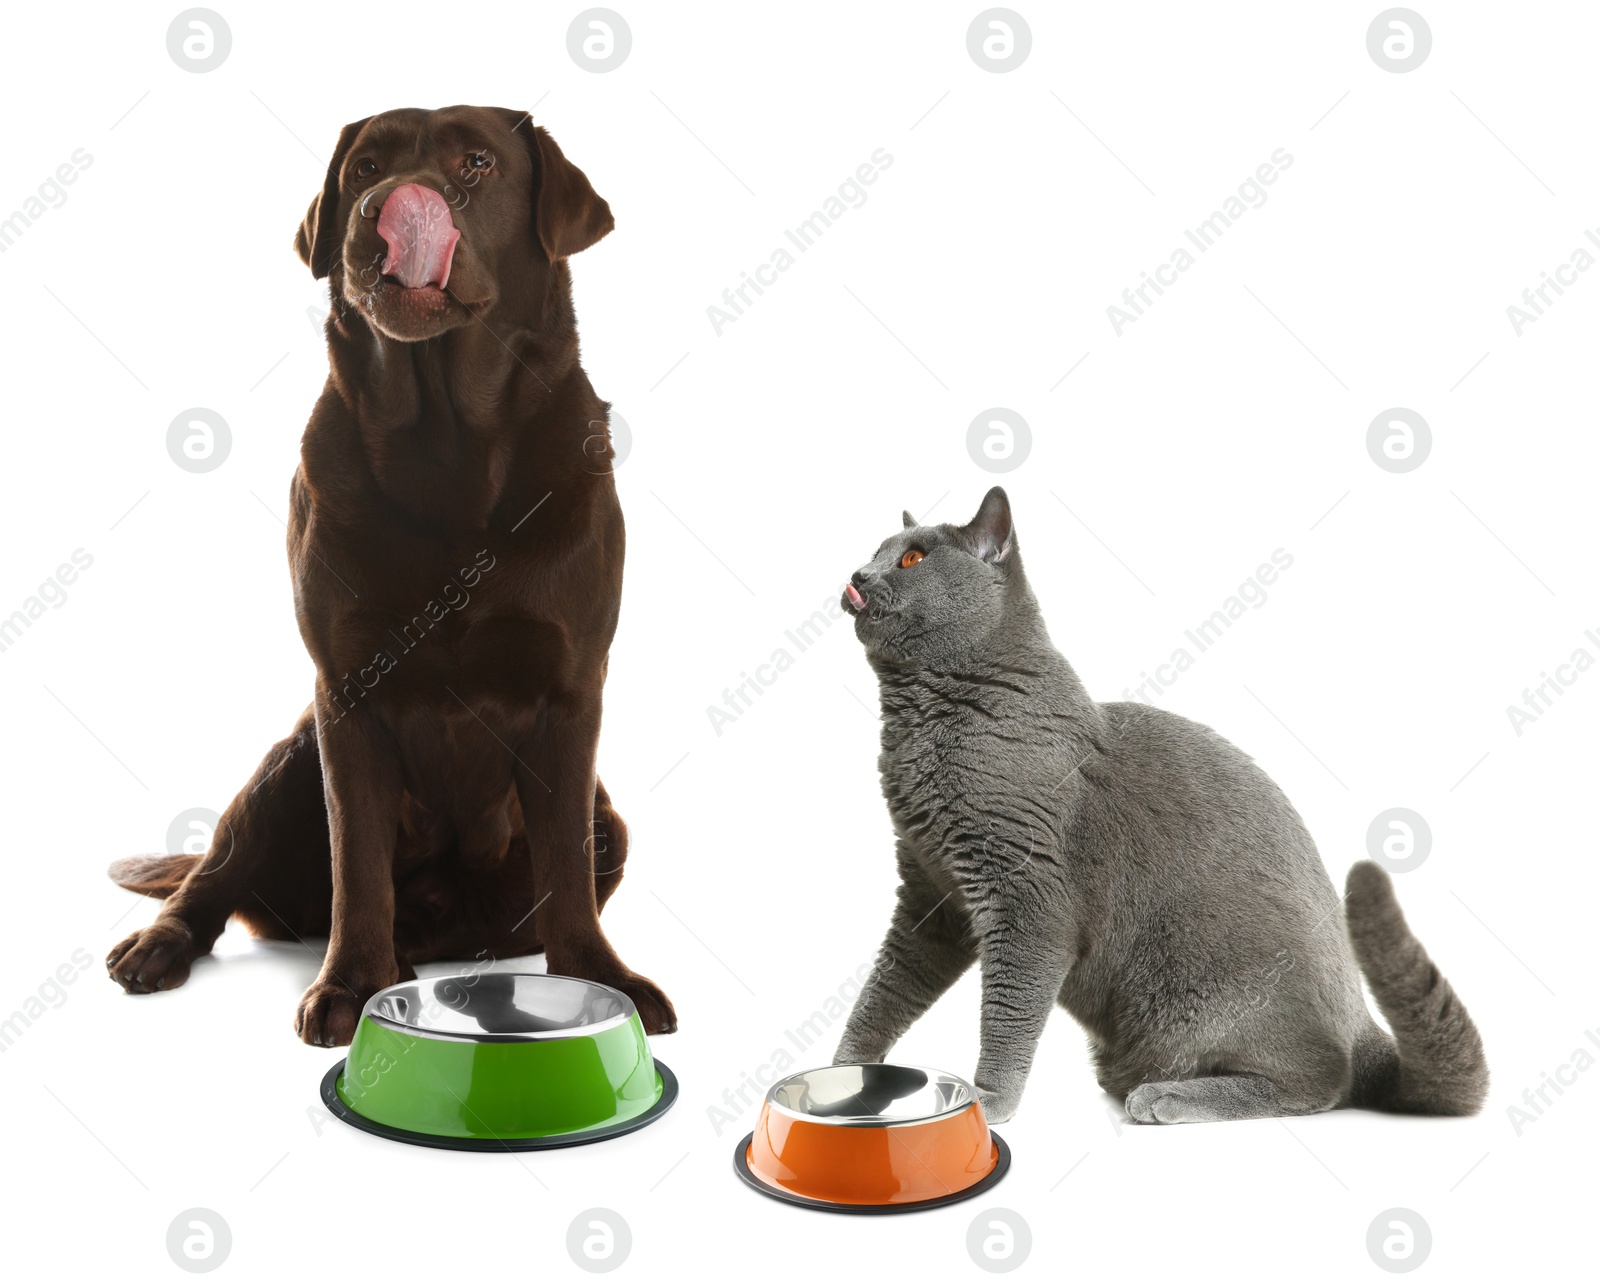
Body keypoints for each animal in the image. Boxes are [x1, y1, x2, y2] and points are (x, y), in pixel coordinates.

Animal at [838, 489, 1484, 1120]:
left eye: (913, 558)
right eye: (877, 550)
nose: (858, 574)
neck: (928, 725)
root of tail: (1362, 1021)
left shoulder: (1027, 899)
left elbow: (1008, 1009)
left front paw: (989, 1099)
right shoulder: (931, 893)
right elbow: (885, 989)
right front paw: (847, 1073)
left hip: (1199, 974)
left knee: (1320, 1077)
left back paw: (1166, 1096)